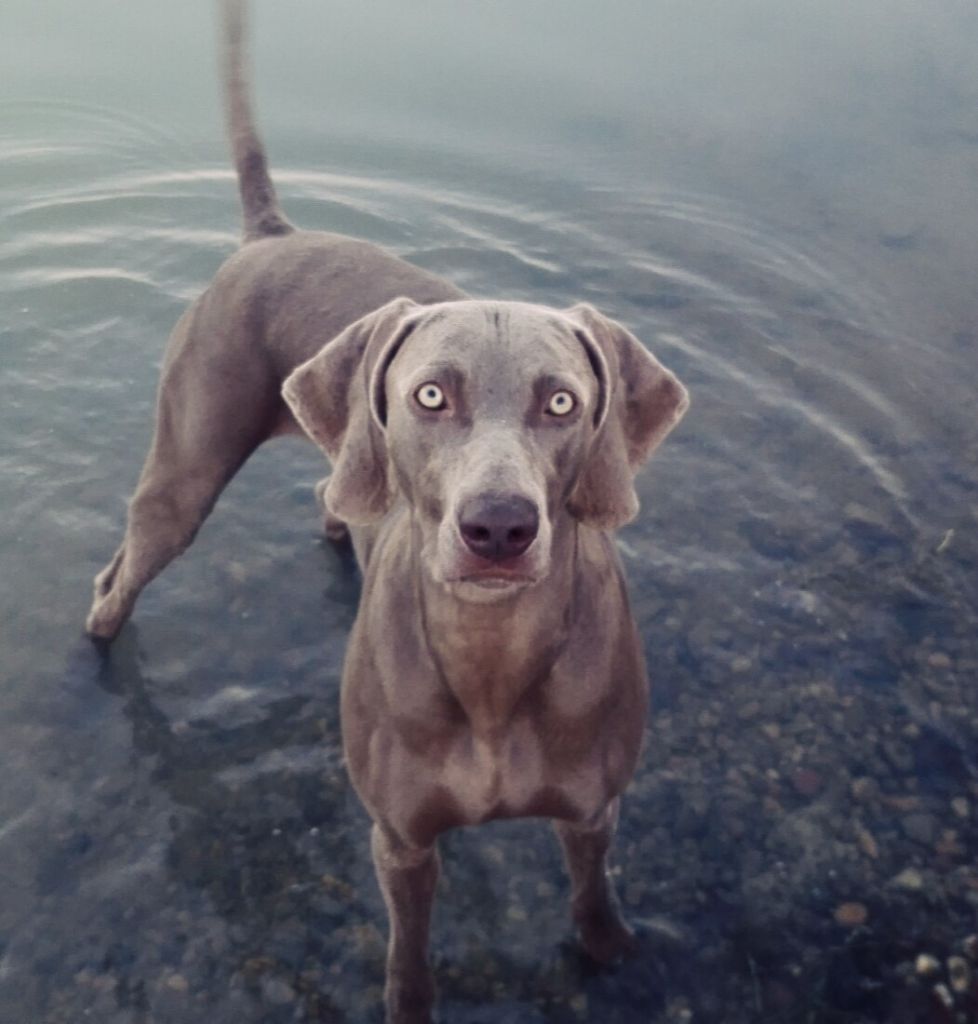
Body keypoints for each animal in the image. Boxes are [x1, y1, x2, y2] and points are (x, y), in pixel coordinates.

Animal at [88, 4, 692, 1019]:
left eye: (562, 402)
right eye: (432, 396)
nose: (498, 528)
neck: (491, 660)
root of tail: (273, 235)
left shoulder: (594, 810)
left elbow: (591, 890)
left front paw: (611, 948)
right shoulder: (402, 840)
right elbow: (408, 949)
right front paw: (410, 996)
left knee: (330, 500)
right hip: (186, 467)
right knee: (119, 572)